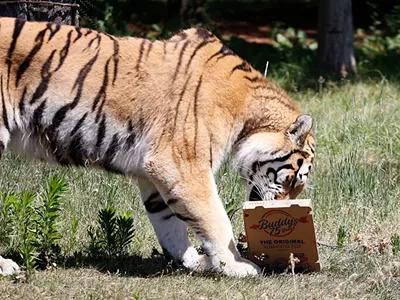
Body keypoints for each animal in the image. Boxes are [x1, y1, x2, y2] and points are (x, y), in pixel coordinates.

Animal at [0, 17, 314, 278]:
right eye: (293, 179)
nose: (288, 206)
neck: (247, 114)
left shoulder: (155, 173)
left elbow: (170, 224)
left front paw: (195, 261)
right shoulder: (183, 165)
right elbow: (215, 218)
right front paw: (237, 265)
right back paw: (6, 266)